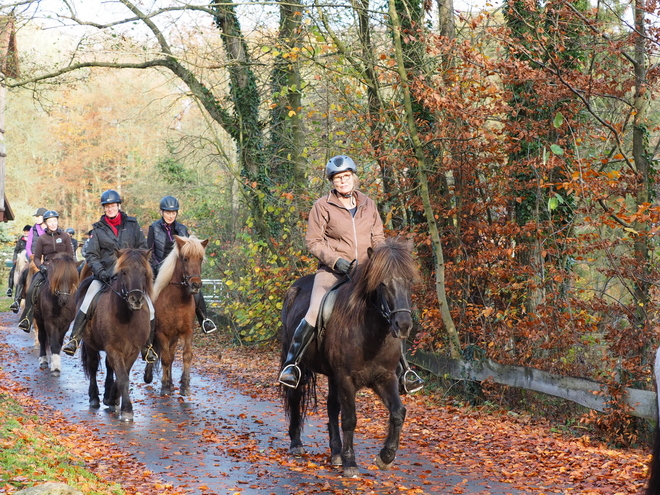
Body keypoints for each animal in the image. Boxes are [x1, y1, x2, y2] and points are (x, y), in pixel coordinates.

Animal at [79, 248, 153, 422]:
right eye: (123, 272)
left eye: (144, 272)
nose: (136, 299)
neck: (128, 317)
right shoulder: (113, 348)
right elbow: (123, 377)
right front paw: (127, 410)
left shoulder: (132, 350)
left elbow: (123, 373)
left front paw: (113, 399)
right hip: (90, 344)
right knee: (93, 366)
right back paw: (94, 398)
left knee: (108, 366)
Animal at [144, 235, 209, 396]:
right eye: (185, 259)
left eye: (200, 259)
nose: (196, 285)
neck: (176, 302)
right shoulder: (161, 333)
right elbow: (165, 359)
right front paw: (164, 386)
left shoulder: (187, 331)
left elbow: (186, 355)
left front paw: (184, 386)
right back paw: (152, 378)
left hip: (174, 336)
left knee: (172, 355)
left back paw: (172, 383)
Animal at [280, 238, 418, 478]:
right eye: (382, 283)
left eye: (409, 281)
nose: (403, 325)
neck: (370, 333)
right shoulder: (346, 378)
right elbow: (350, 419)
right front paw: (350, 463)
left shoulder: (385, 378)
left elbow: (398, 412)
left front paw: (386, 456)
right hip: (300, 364)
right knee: (295, 396)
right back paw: (297, 444)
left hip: (333, 375)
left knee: (331, 407)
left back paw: (335, 453)